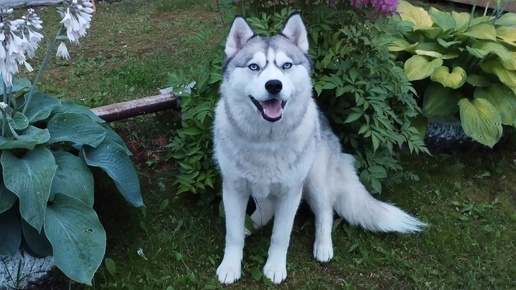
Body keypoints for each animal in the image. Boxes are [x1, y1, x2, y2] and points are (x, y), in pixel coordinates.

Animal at [212, 13, 426, 284]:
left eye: (286, 65)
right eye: (253, 67)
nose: (274, 85)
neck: (266, 140)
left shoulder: (292, 190)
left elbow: (281, 235)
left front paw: (275, 267)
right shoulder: (233, 187)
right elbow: (233, 233)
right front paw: (231, 264)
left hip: (314, 180)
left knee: (326, 210)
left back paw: (323, 246)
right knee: (266, 209)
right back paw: (250, 226)